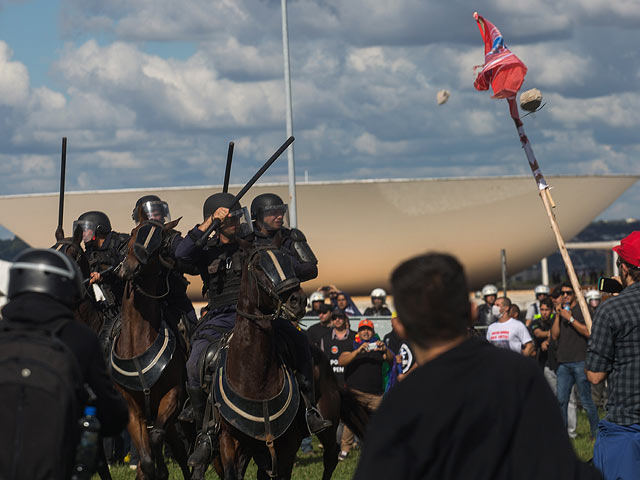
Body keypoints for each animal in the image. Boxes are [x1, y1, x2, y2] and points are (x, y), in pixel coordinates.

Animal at [113, 218, 190, 480]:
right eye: (134, 233)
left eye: (159, 245)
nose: (130, 269)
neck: (138, 342)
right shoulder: (130, 407)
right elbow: (146, 459)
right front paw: (147, 470)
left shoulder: (172, 396)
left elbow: (156, 439)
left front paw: (160, 470)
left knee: (179, 452)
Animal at [210, 246, 370, 478]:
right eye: (259, 266)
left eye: (290, 262)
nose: (298, 301)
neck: (254, 376)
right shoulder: (230, 441)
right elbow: (233, 471)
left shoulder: (287, 446)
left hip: (329, 422)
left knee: (331, 456)